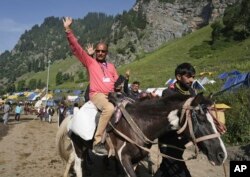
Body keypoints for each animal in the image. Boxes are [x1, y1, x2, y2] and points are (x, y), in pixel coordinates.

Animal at [56, 93, 227, 176]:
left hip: (83, 147)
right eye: (201, 118)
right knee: (78, 165)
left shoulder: (136, 160)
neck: (140, 124)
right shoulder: (123, 157)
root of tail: (72, 116)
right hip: (78, 146)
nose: (221, 155)